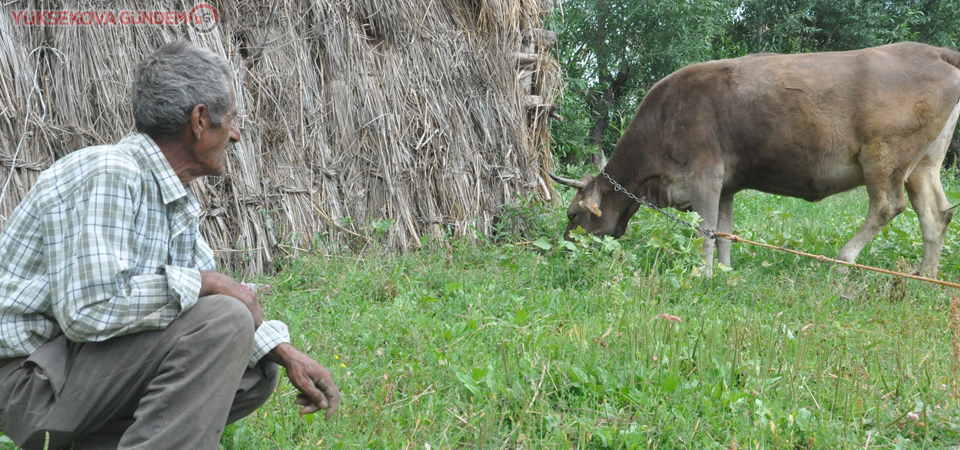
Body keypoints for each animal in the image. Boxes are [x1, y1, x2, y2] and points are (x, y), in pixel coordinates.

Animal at [552, 40, 960, 276]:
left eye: (572, 215)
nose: (563, 248)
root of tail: (931, 50)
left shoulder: (704, 174)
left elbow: (705, 229)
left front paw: (701, 274)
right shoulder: (726, 185)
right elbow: (724, 230)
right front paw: (725, 272)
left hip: (884, 155)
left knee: (887, 206)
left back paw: (843, 261)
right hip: (924, 163)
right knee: (935, 214)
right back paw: (925, 277)